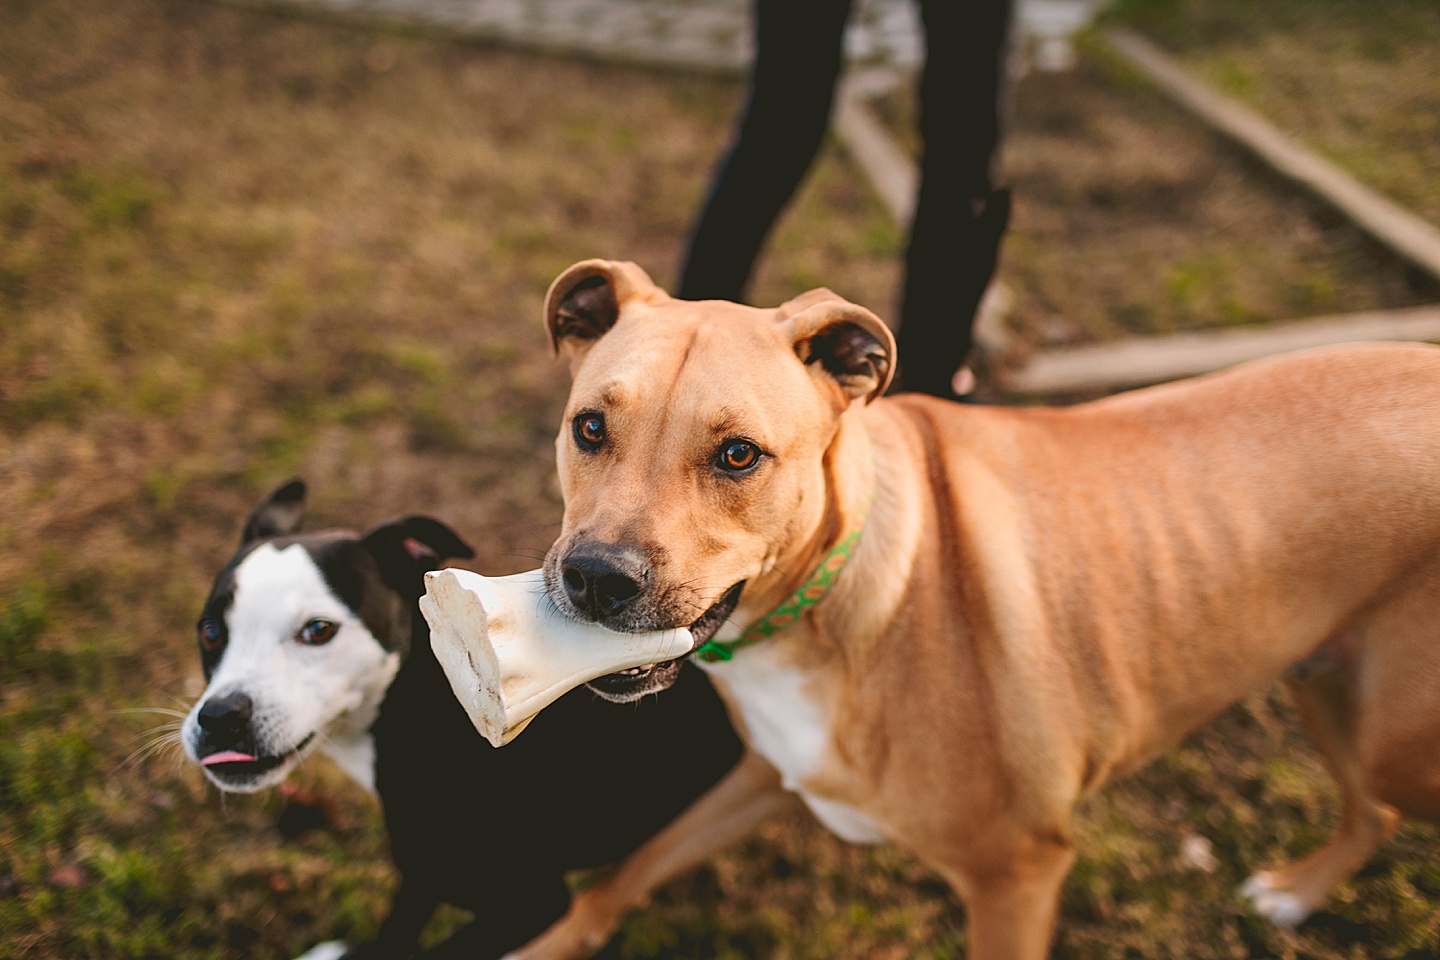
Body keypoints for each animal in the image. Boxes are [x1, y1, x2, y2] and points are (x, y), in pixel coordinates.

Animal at [182, 480, 743, 960]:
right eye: (210, 632)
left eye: (319, 631)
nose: (221, 717)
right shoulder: (421, 869)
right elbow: (398, 927)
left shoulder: (531, 904)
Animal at [512, 259, 1440, 955]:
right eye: (589, 428)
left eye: (739, 455)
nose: (596, 578)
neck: (827, 604)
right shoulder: (773, 771)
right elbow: (624, 873)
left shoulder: (1018, 875)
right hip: (1325, 679)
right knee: (1374, 807)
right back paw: (1297, 894)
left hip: (1396, 739)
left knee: (1387, 799)